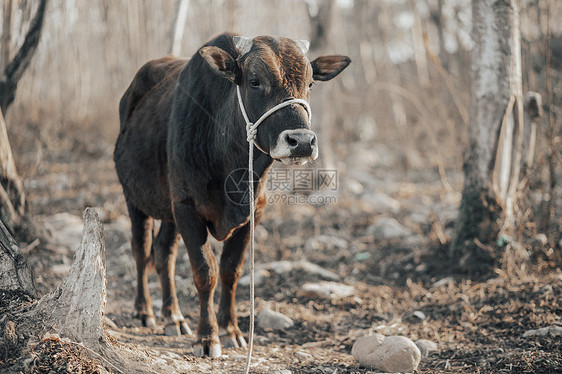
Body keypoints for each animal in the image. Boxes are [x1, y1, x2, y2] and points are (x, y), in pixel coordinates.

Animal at [113, 32, 348, 356]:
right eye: (254, 81)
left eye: (310, 83)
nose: (301, 142)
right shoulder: (187, 208)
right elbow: (205, 272)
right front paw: (207, 337)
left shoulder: (251, 214)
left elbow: (230, 271)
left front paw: (230, 329)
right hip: (135, 198)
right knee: (141, 249)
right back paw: (144, 310)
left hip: (169, 210)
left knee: (163, 254)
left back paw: (173, 316)